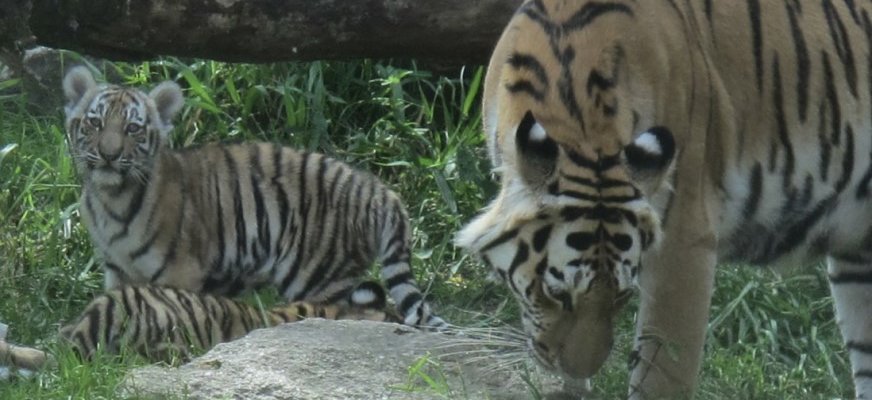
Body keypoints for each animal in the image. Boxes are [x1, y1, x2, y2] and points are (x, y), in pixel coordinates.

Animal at [61, 67, 446, 332]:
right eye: (95, 123)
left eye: (132, 129)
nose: (109, 155)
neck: (112, 200)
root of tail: (381, 191)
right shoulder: (116, 269)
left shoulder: (181, 272)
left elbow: (173, 306)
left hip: (321, 275)